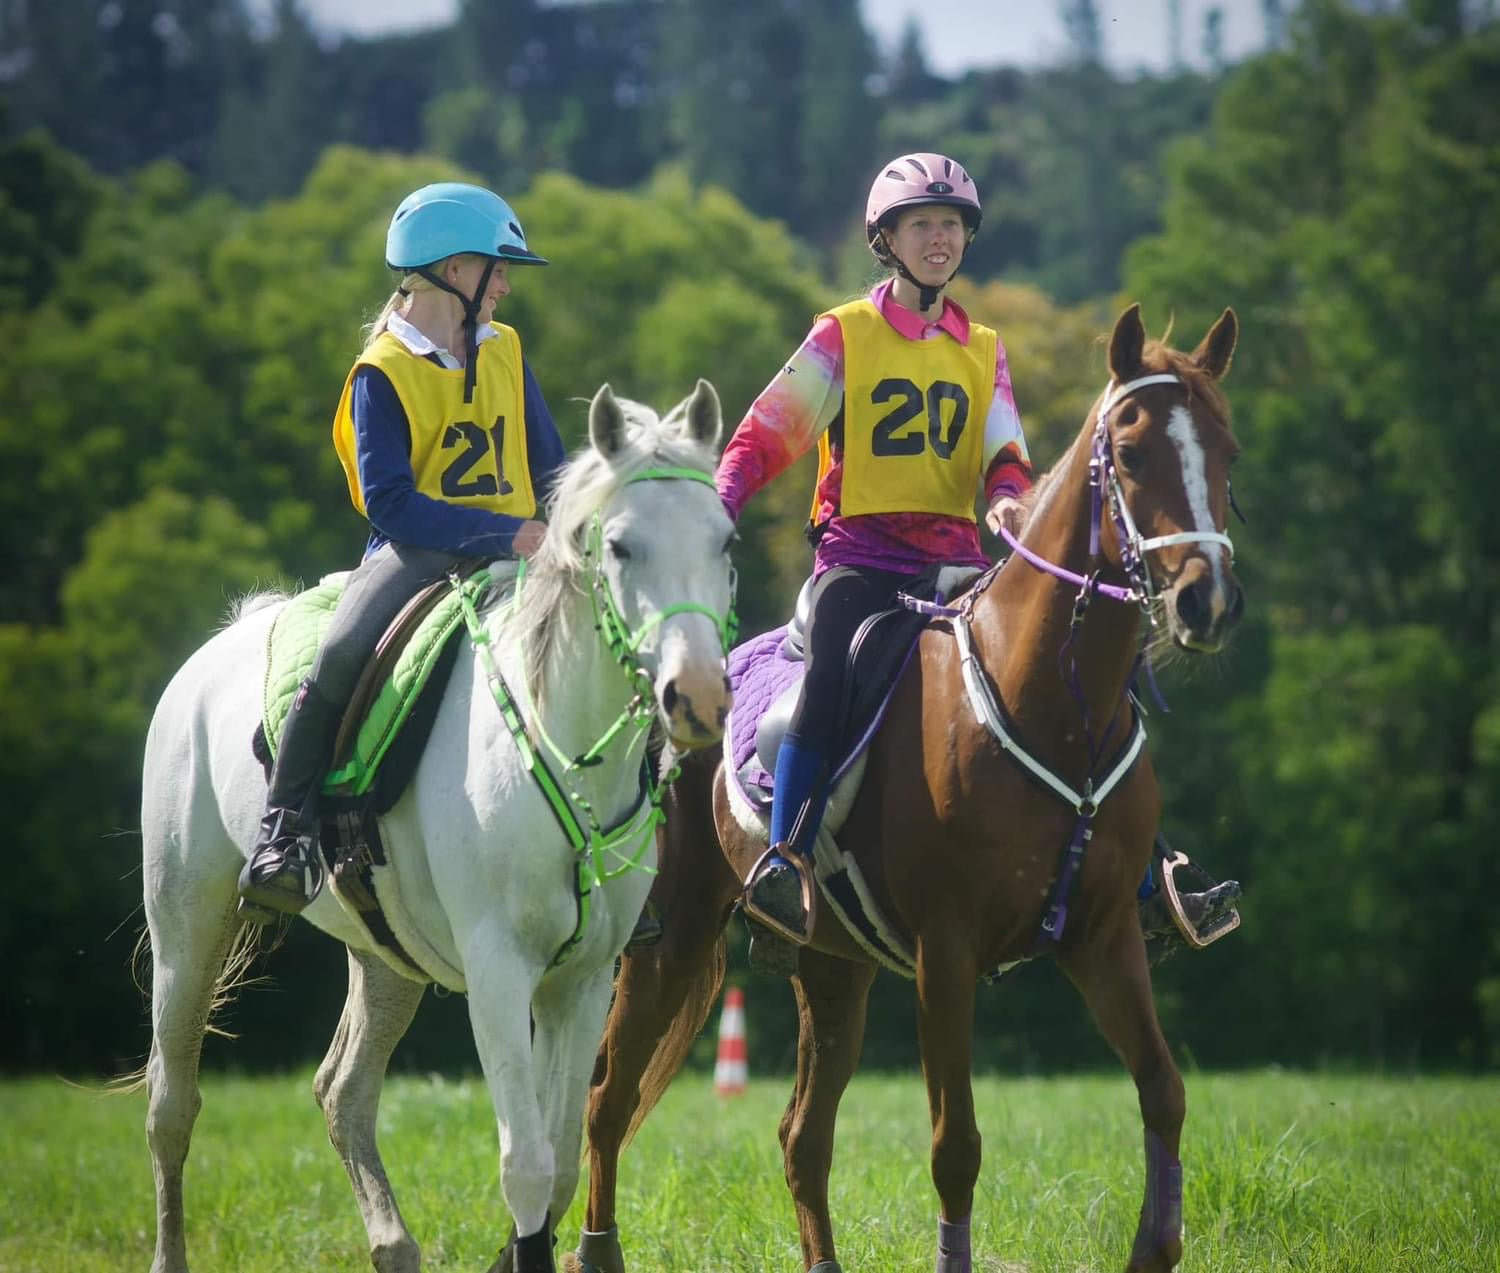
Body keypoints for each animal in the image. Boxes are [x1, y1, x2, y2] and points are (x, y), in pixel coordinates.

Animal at [141, 379, 738, 1271]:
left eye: (725, 540)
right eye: (622, 547)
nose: (696, 696)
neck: (564, 750)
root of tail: (214, 650)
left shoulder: (583, 979)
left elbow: (562, 1164)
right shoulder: (499, 971)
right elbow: (527, 1166)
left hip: (386, 958)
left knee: (343, 1090)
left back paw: (393, 1243)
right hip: (187, 930)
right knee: (171, 1104)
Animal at [564, 305, 1242, 1271]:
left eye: (1227, 451)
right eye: (1134, 449)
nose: (1205, 602)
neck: (1051, 704)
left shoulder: (1105, 934)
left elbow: (1164, 1088)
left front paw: (1155, 1244)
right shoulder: (945, 950)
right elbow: (956, 1144)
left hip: (833, 966)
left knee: (800, 1135)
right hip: (675, 937)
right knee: (608, 1101)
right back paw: (596, 1247)